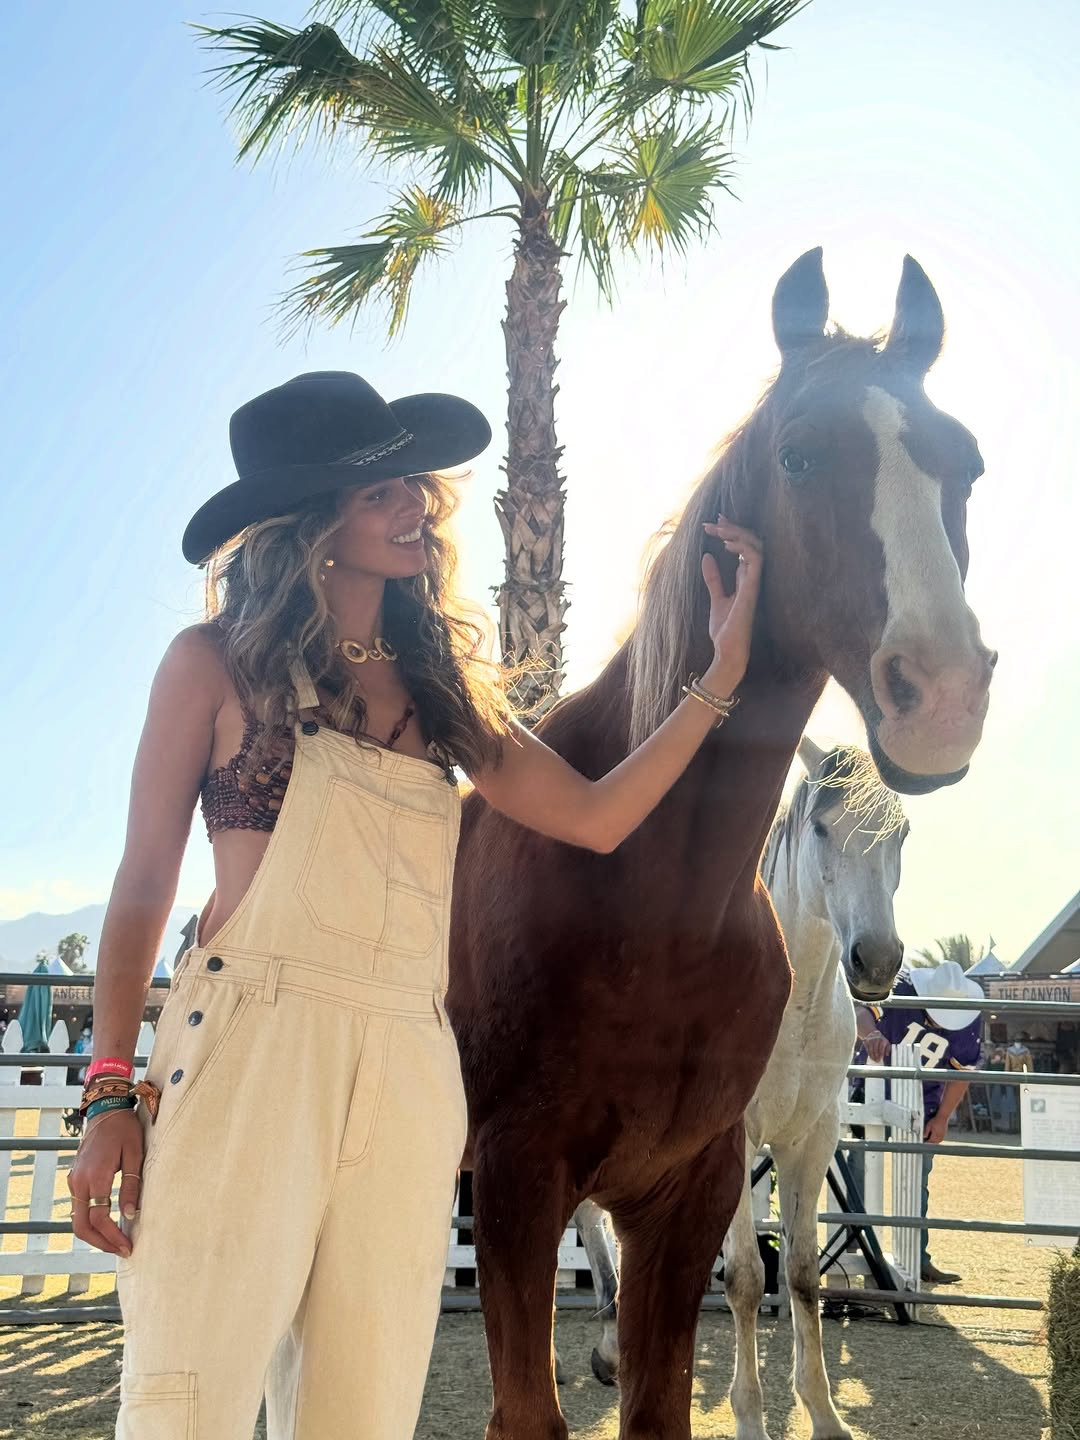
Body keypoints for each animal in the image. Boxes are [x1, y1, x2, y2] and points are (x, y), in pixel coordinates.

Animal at [570, 737, 909, 1440]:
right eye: (821, 827)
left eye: (904, 832)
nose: (877, 961)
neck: (794, 1005)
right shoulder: (735, 1140)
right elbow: (748, 1279)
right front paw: (750, 1417)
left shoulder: (811, 1139)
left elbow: (802, 1276)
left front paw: (824, 1413)